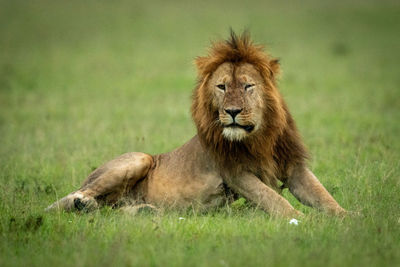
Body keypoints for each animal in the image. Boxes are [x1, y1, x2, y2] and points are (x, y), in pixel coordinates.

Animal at [46, 31, 346, 218]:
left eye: (248, 86)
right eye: (222, 87)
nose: (232, 111)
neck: (260, 136)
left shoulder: (294, 166)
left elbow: (323, 197)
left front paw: (348, 217)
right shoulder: (234, 172)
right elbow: (274, 200)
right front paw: (302, 219)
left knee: (111, 210)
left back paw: (137, 211)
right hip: (138, 159)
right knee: (68, 198)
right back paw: (83, 203)